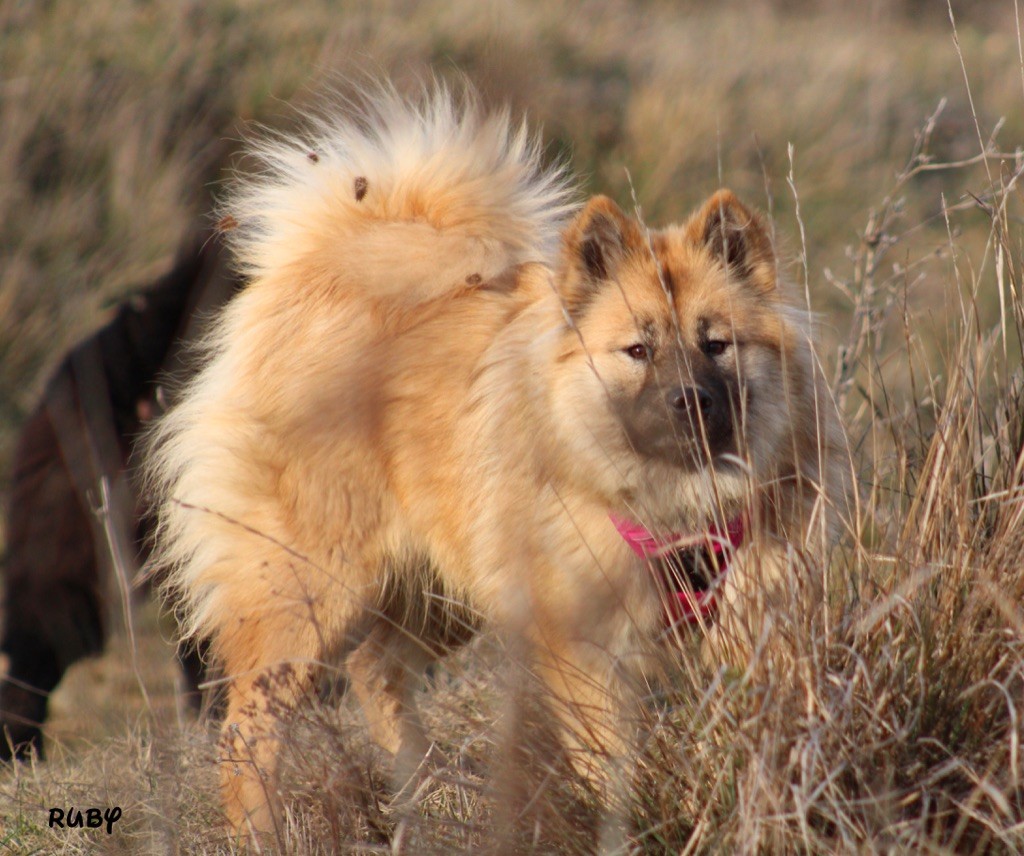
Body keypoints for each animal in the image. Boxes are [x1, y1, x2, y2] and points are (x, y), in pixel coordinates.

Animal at [144, 88, 847, 843]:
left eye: (716, 344)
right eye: (637, 350)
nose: (691, 400)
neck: (674, 508)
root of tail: (322, 271)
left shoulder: (758, 624)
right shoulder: (586, 650)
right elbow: (611, 767)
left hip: (442, 585)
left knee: (377, 672)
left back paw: (426, 793)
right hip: (309, 589)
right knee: (249, 730)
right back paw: (266, 831)